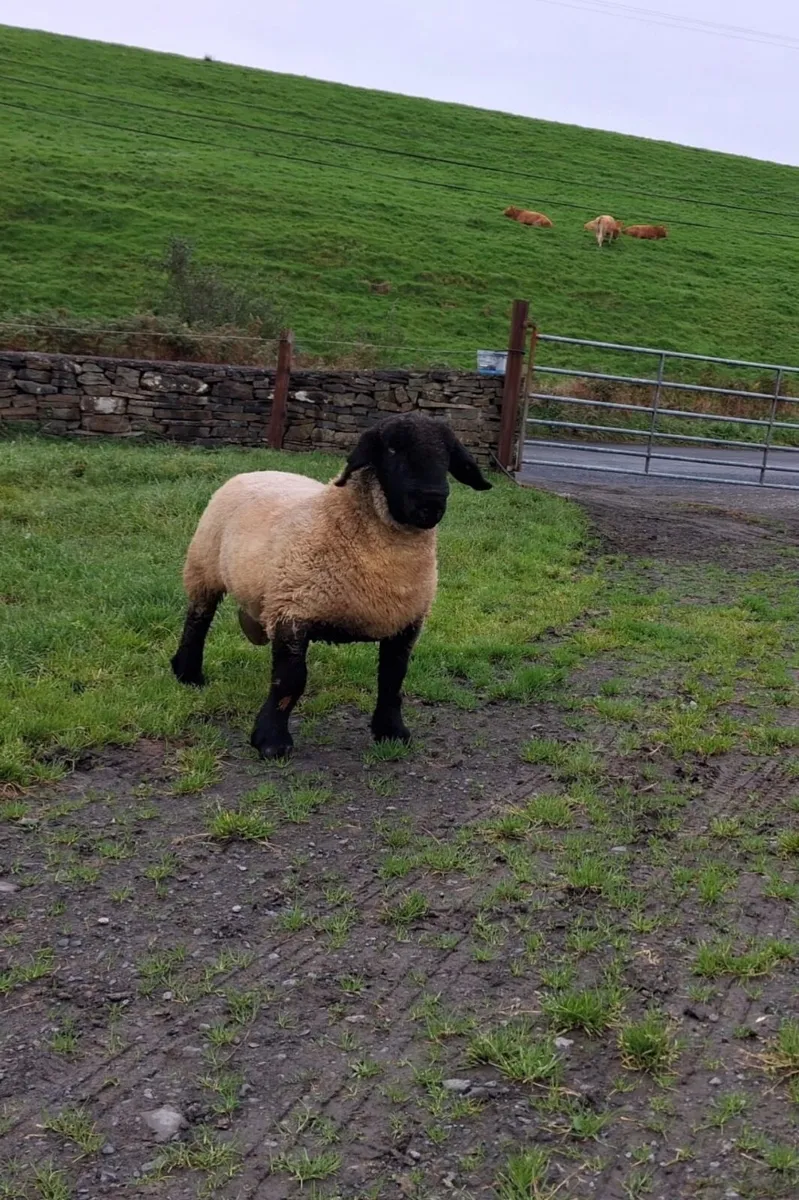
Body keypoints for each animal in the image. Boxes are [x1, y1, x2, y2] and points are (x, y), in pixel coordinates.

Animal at [171, 413, 493, 760]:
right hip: (203, 567)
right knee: (197, 621)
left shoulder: (405, 621)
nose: (431, 501)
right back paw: (187, 674)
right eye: (392, 449)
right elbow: (290, 681)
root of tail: (261, 470)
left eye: (448, 454)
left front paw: (391, 731)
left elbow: (392, 678)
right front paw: (271, 741)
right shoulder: (293, 610)